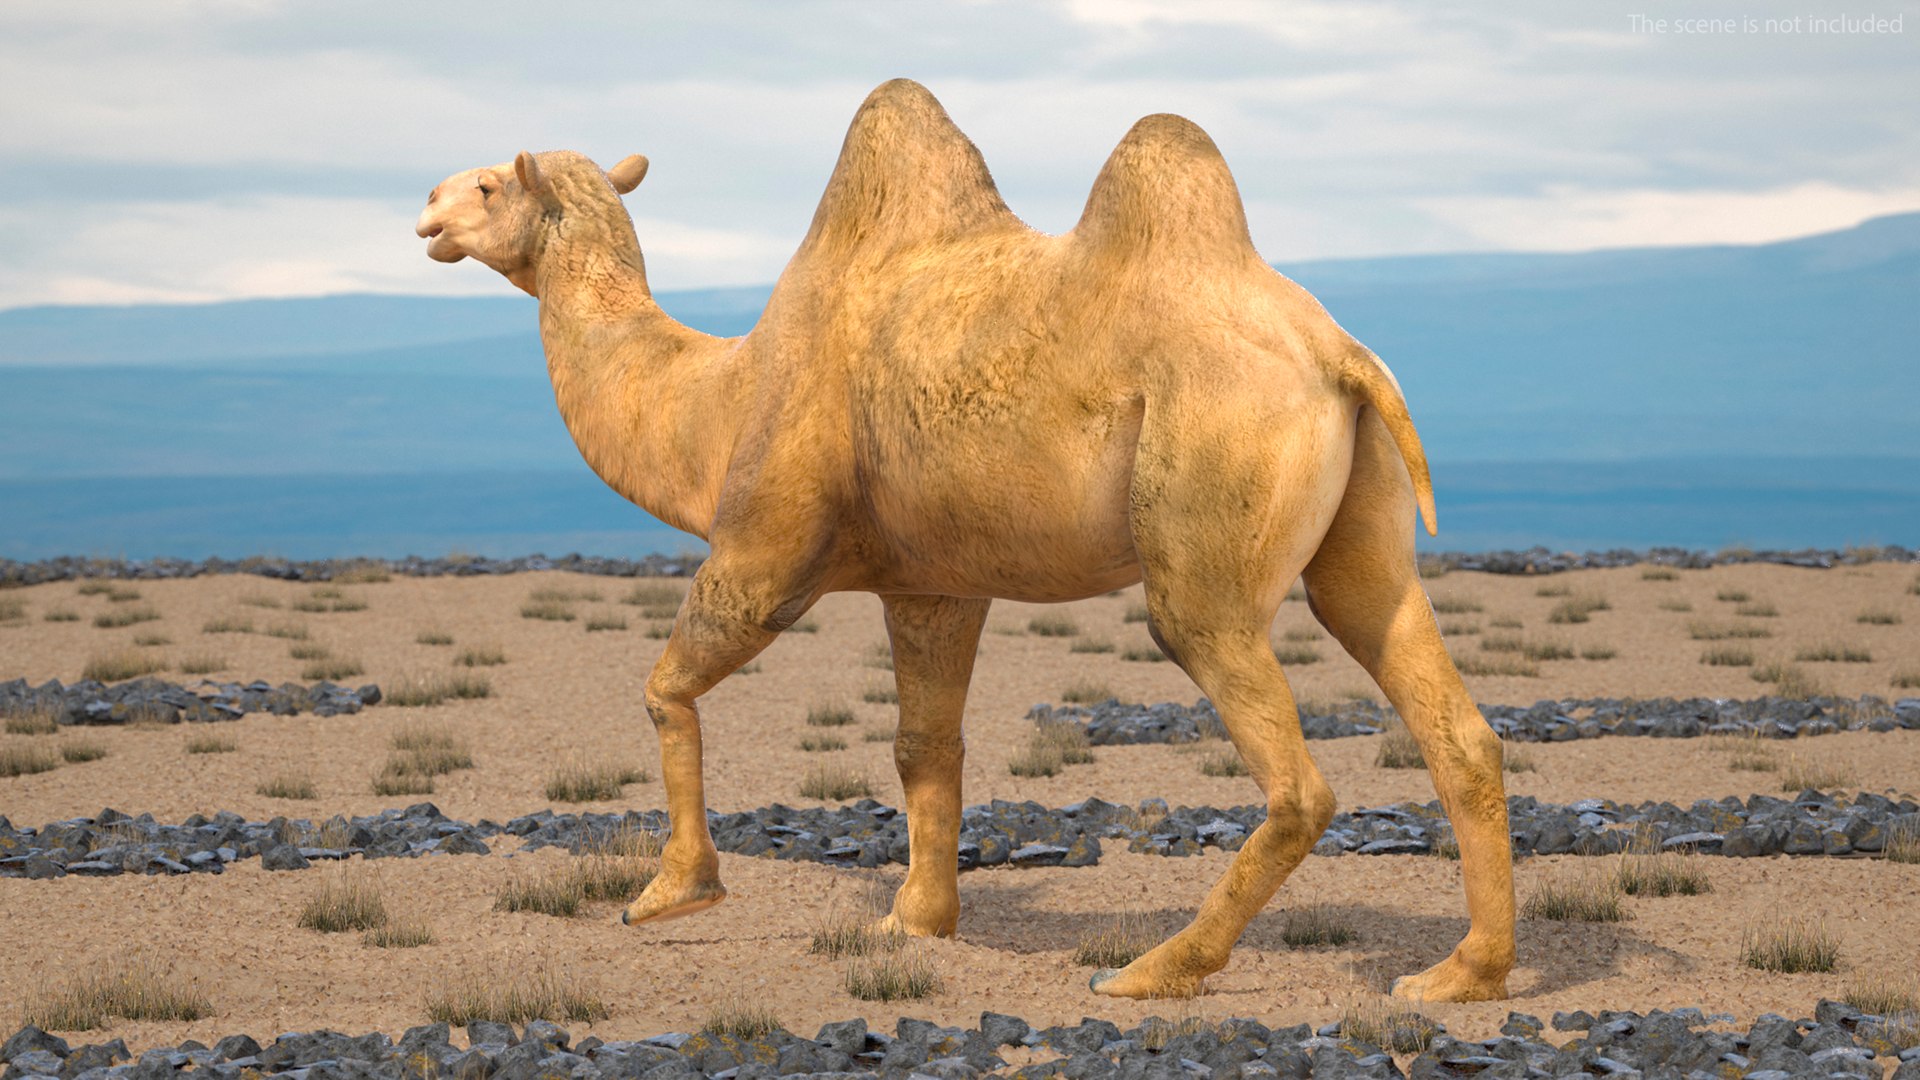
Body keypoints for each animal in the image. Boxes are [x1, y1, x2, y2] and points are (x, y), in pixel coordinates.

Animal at [414, 78, 1515, 1003]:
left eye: (485, 183)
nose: (424, 208)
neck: (713, 405)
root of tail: (1340, 357)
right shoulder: (933, 584)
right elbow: (923, 744)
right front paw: (917, 920)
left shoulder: (764, 549)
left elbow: (664, 688)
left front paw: (674, 890)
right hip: (1362, 529)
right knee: (1439, 705)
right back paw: (1460, 975)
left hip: (1206, 513)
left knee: (1284, 760)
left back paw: (1153, 971)